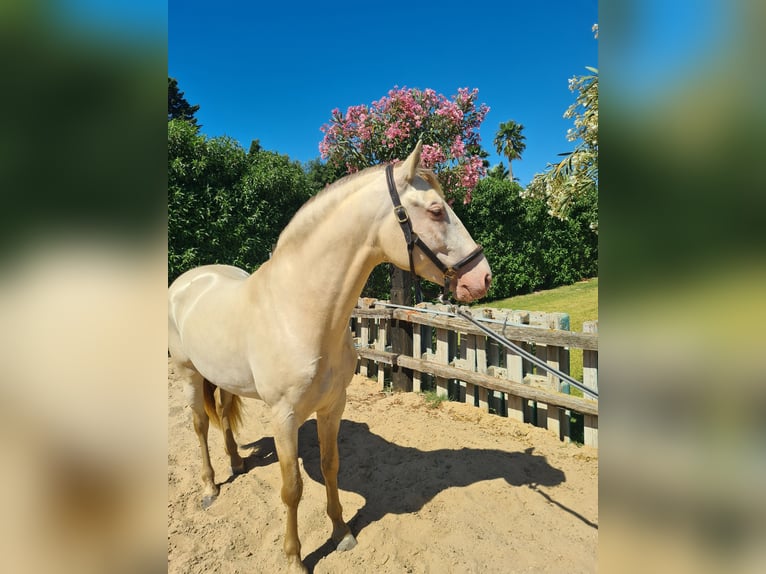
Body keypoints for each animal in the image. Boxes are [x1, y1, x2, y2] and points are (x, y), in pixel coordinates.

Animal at [167, 142, 492, 572]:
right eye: (437, 210)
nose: (482, 277)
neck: (298, 311)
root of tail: (187, 281)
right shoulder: (284, 417)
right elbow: (292, 488)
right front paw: (294, 557)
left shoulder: (333, 405)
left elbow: (330, 465)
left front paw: (341, 532)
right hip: (188, 374)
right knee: (201, 425)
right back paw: (210, 487)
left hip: (220, 377)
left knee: (222, 414)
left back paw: (236, 463)